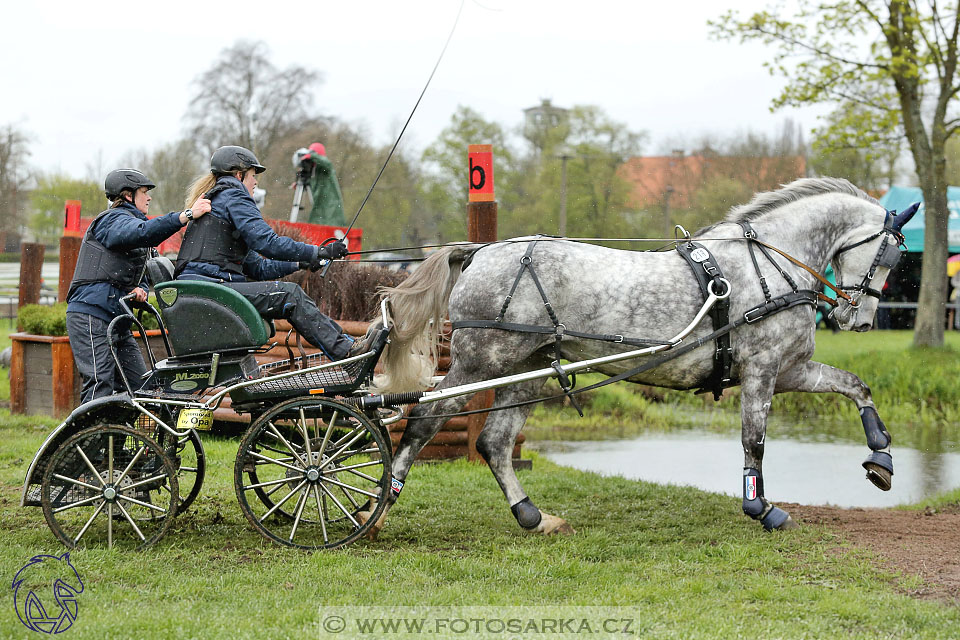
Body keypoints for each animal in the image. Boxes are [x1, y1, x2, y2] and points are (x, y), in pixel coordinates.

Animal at [358, 178, 916, 536]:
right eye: (893, 254)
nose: (860, 319)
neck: (770, 266)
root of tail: (479, 251)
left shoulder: (790, 369)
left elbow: (856, 386)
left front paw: (882, 458)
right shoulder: (762, 370)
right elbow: (754, 441)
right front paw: (761, 508)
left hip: (529, 368)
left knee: (494, 442)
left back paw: (532, 516)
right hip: (480, 363)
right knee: (426, 418)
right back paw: (378, 509)